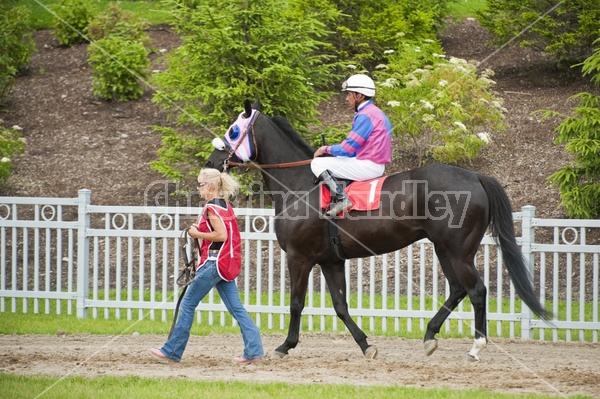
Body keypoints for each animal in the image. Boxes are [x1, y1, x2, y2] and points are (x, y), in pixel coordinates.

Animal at [206, 100, 548, 362]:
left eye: (233, 130)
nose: (212, 160)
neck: (301, 185)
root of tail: (476, 176)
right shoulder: (331, 260)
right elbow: (341, 306)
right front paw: (366, 345)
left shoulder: (299, 257)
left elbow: (296, 303)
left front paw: (284, 346)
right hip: (445, 249)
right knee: (457, 289)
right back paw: (429, 335)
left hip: (458, 250)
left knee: (476, 290)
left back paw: (476, 347)